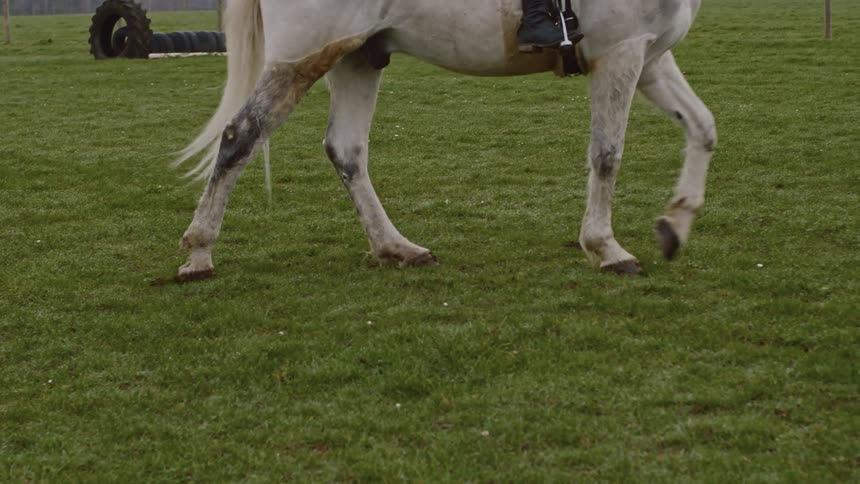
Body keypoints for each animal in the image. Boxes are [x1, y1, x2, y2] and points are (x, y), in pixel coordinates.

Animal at [174, 0, 716, 281]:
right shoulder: (620, 53)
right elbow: (607, 154)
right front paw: (606, 248)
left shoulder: (650, 59)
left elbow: (703, 127)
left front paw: (674, 226)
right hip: (303, 57)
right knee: (241, 135)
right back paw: (199, 254)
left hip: (357, 56)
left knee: (346, 150)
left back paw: (397, 247)